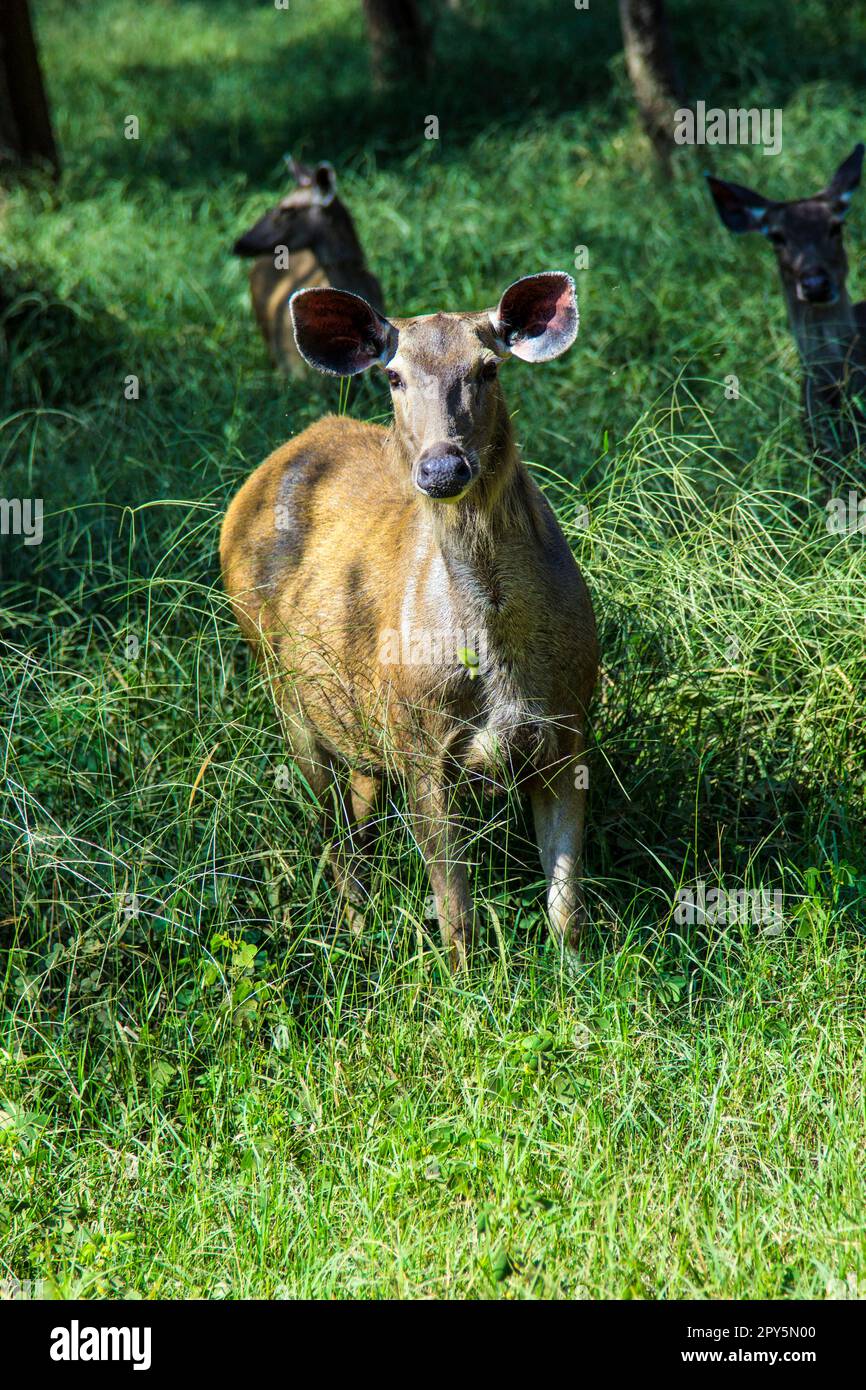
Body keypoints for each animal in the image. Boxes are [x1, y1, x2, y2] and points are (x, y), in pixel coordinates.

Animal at [219, 271, 600, 967]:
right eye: (393, 376)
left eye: (488, 368)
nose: (442, 466)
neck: (499, 657)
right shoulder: (420, 740)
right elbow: (456, 915)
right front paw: (468, 988)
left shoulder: (569, 724)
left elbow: (567, 909)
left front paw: (575, 980)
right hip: (283, 688)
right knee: (337, 838)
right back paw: (356, 938)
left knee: (360, 814)